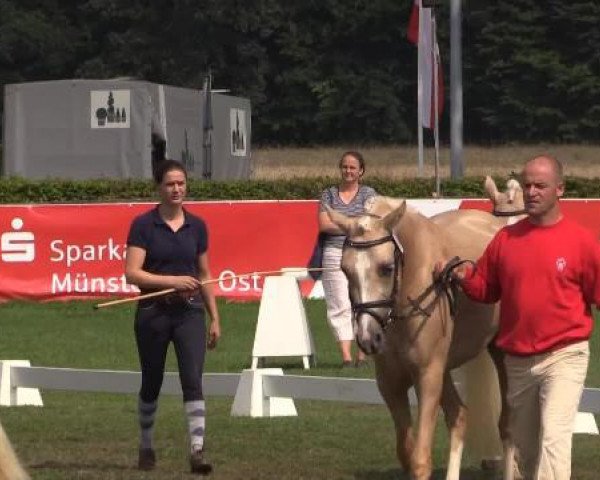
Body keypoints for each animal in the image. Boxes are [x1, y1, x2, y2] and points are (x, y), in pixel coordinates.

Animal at [328, 179, 524, 480]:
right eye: (344, 269)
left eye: (386, 268)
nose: (367, 337)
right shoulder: (391, 383)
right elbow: (407, 454)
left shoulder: (427, 376)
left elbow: (420, 460)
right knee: (460, 416)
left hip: (497, 357)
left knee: (507, 424)